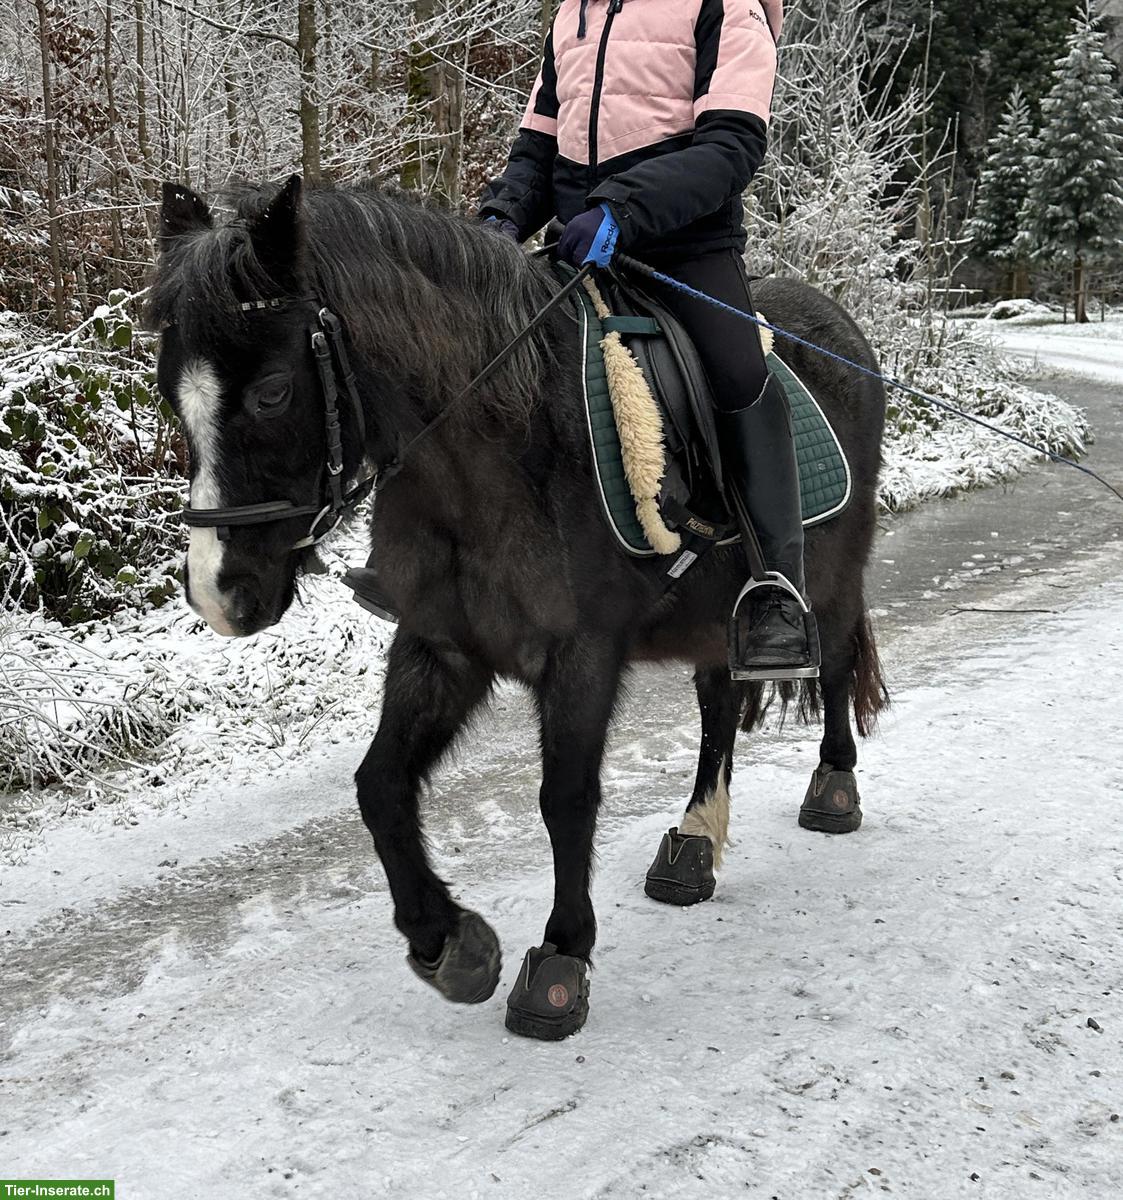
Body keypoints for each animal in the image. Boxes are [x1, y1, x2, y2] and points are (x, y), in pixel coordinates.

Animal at [149, 175, 888, 1040]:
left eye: (271, 392)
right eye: (172, 395)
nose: (218, 592)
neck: (500, 447)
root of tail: (838, 324)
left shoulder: (581, 655)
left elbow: (565, 800)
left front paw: (561, 959)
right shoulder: (440, 646)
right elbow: (379, 786)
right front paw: (448, 940)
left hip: (827, 575)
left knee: (830, 662)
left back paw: (832, 789)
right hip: (716, 610)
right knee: (716, 704)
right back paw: (695, 840)